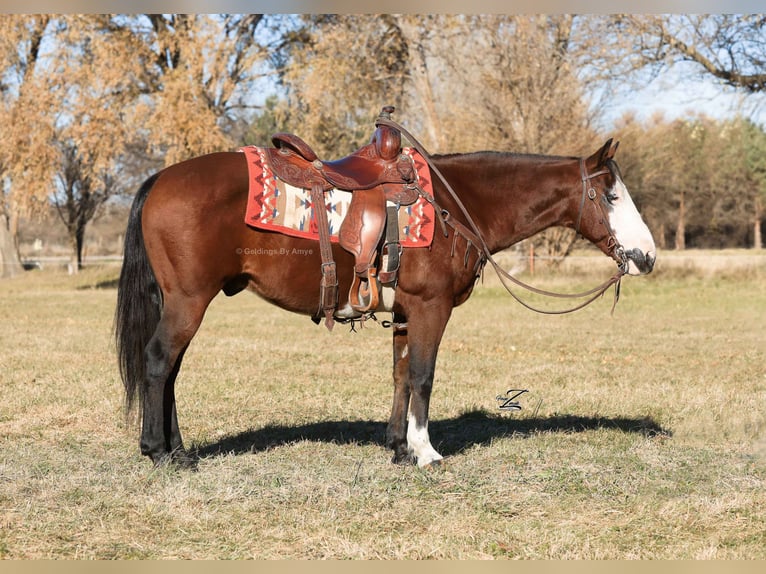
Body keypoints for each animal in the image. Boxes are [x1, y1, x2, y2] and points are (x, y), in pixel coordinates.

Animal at [115, 137, 656, 469]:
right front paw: (425, 452)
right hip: (188, 302)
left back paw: (177, 449)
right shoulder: (431, 308)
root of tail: (160, 180)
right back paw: (158, 452)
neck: (455, 205)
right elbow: (423, 376)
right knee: (159, 362)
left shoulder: (404, 312)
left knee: (170, 371)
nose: (646, 256)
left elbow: (400, 374)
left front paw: (398, 447)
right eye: (611, 196)